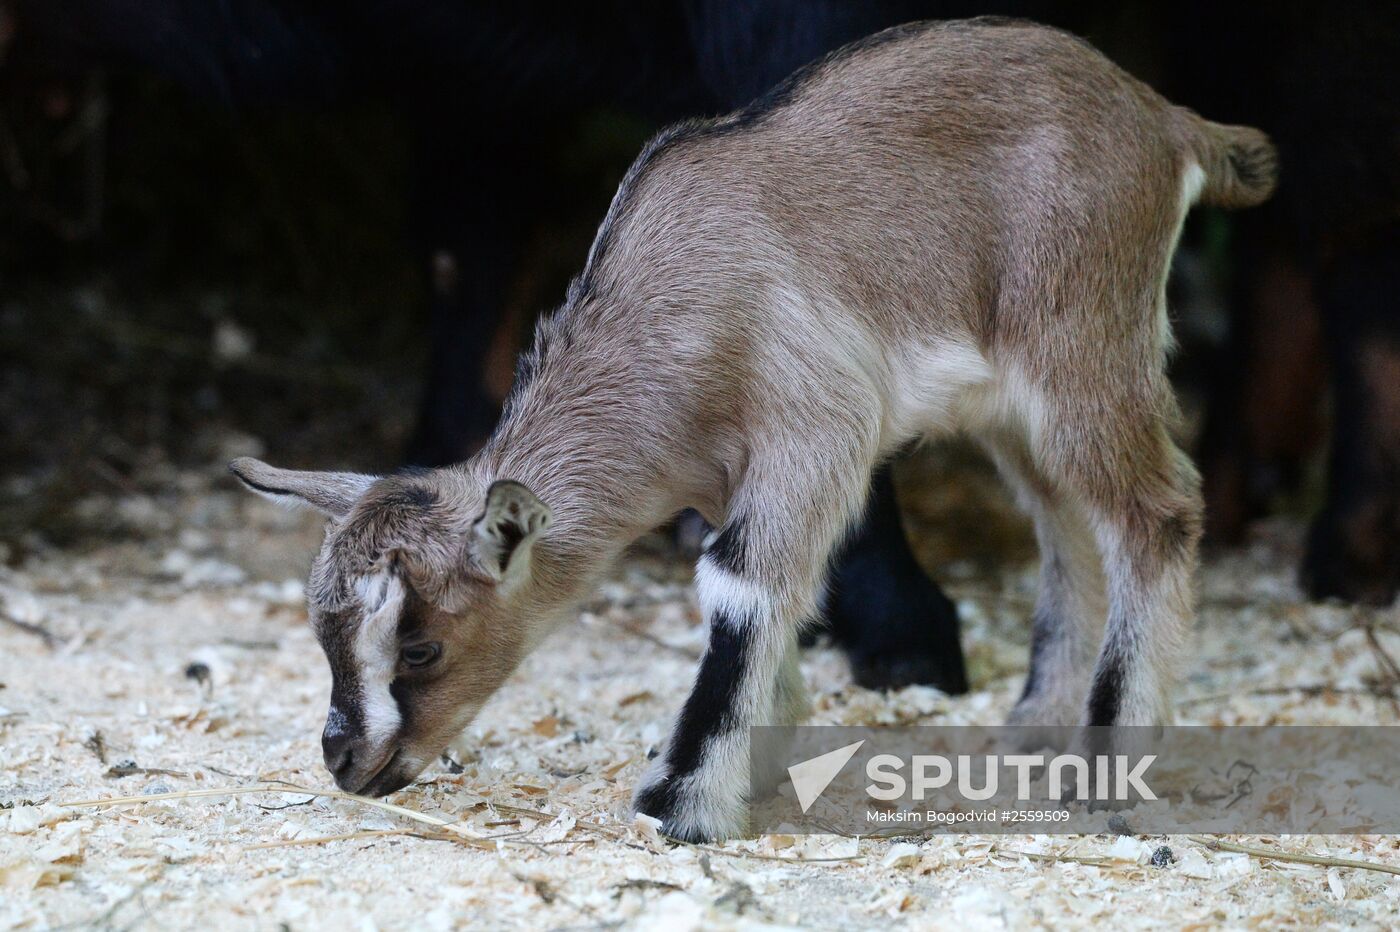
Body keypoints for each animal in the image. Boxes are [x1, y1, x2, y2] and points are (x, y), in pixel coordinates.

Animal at [232, 18, 1282, 839]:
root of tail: (1162, 117)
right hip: (1019, 408)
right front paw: (765, 759)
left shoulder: (814, 431)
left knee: (1154, 512)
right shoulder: (726, 478)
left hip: (1084, 343)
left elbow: (742, 589)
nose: (345, 761)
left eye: (421, 649)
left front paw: (683, 804)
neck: (671, 312)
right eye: (326, 636)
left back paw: (1104, 769)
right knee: (1069, 525)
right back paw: (1038, 728)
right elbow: (768, 595)